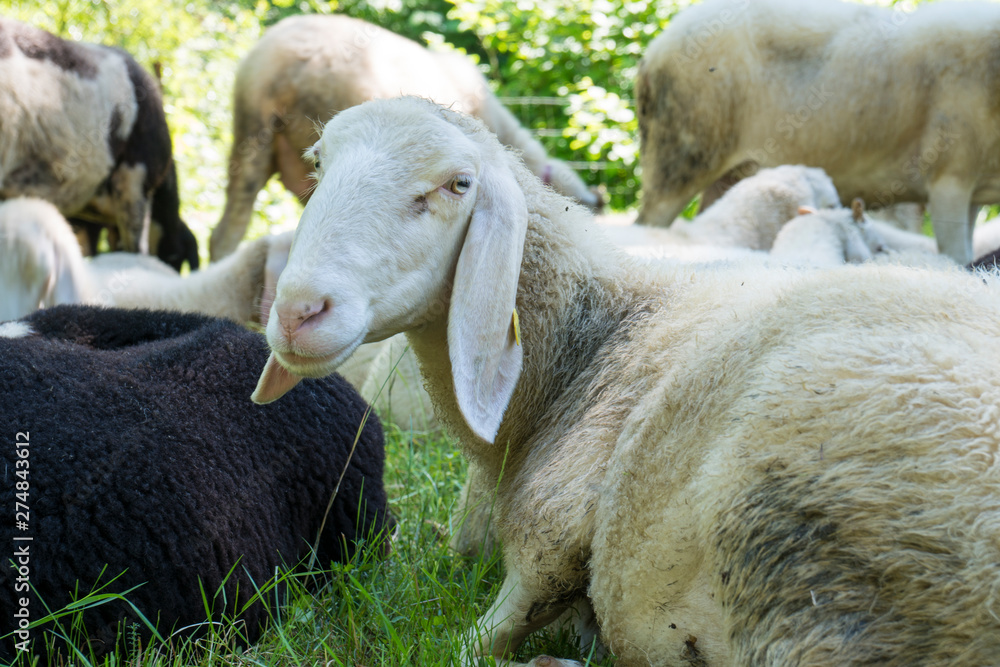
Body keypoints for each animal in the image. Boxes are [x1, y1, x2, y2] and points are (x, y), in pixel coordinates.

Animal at [253, 97, 1000, 666]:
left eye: (458, 184)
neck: (597, 337)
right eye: (317, 164)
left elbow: (468, 639)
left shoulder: (552, 535)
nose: (298, 311)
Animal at [635, 0, 1000, 264]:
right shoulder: (949, 181)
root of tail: (652, 52)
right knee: (647, 223)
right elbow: (958, 258)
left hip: (730, 175)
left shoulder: (973, 193)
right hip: (679, 158)